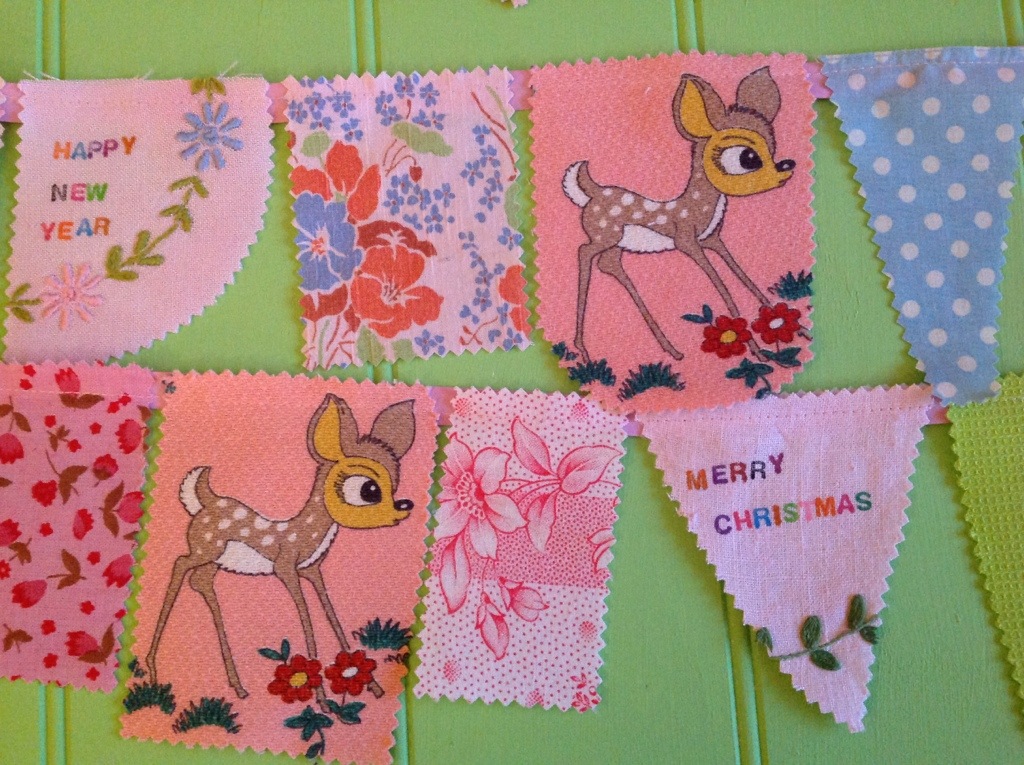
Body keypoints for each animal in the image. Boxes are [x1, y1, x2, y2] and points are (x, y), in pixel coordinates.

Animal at [145, 394, 417, 705]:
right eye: (369, 490)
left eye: (395, 483)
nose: (404, 507)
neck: (305, 534)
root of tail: (203, 501)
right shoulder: (285, 568)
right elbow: (306, 617)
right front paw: (323, 701)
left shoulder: (312, 570)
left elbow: (330, 613)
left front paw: (371, 685)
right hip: (204, 549)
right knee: (180, 563)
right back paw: (152, 669)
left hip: (215, 561)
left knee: (199, 581)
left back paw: (238, 686)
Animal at [562, 66, 797, 364]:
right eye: (748, 157)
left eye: (772, 144)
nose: (787, 167)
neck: (698, 207)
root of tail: (592, 192)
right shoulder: (688, 242)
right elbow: (721, 284)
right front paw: (757, 351)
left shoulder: (713, 239)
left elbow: (740, 274)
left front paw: (790, 328)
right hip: (605, 236)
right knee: (584, 252)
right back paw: (583, 349)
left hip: (617, 245)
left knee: (609, 265)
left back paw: (670, 348)